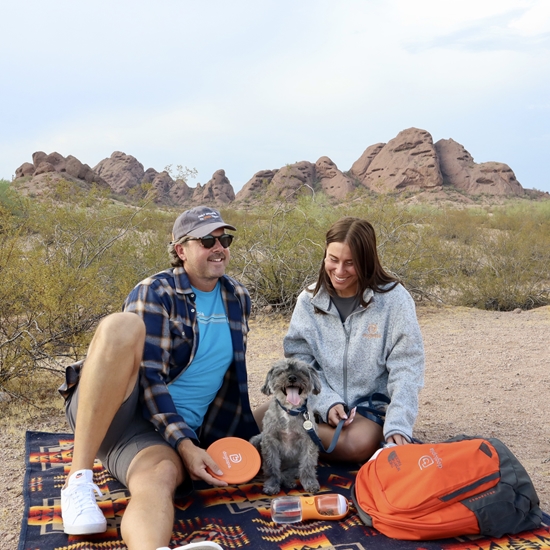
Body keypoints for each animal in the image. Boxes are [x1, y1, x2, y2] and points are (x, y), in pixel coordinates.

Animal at [251, 360, 324, 498]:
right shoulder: (269, 442)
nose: (292, 377)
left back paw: (289, 481)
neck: (290, 411)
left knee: (289, 473)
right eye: (281, 372)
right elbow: (271, 467)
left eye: (301, 371)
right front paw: (271, 485)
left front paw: (310, 483)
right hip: (256, 440)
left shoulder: (309, 442)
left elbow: (307, 465)